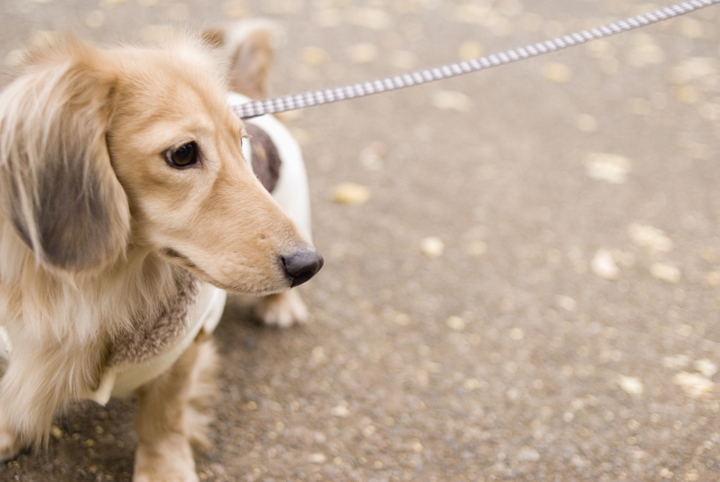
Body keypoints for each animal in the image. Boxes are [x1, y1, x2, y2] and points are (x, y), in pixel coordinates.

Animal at [0, 20, 324, 480]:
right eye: (184, 152)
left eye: (241, 144)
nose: (307, 264)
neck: (101, 286)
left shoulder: (185, 344)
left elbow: (163, 414)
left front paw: (164, 467)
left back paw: (281, 307)